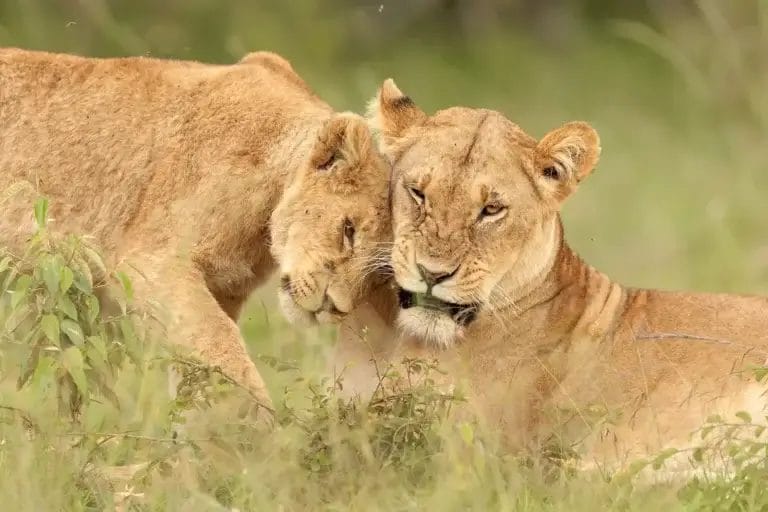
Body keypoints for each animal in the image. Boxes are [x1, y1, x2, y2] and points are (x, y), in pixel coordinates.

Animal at [0, 48, 391, 413]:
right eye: (348, 230)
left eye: (377, 277)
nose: (334, 308)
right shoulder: (154, 263)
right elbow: (222, 347)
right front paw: (261, 429)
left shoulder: (222, 288)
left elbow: (199, 369)